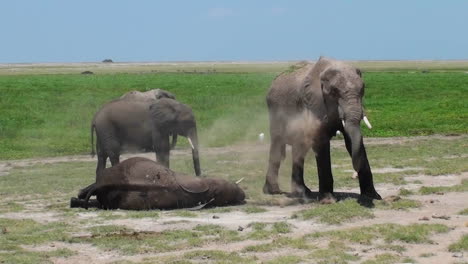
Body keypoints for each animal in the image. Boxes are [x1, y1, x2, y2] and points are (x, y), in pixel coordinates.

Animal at [264, 56, 380, 203]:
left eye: (362, 90)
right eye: (334, 92)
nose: (354, 173)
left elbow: (351, 140)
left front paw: (374, 197)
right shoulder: (314, 103)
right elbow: (321, 141)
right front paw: (328, 201)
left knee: (299, 149)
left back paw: (302, 192)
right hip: (274, 111)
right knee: (278, 146)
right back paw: (274, 191)